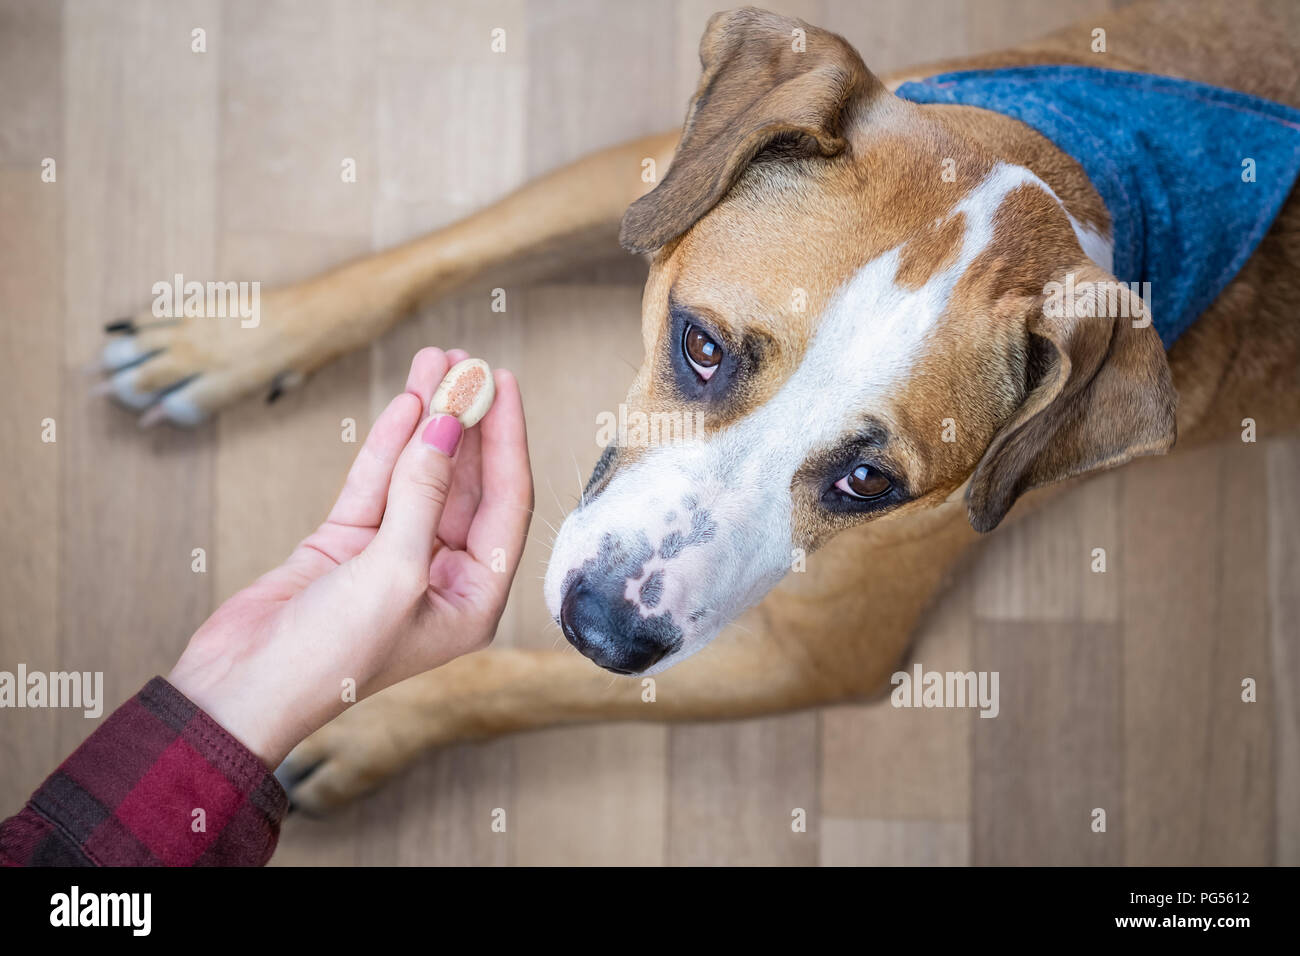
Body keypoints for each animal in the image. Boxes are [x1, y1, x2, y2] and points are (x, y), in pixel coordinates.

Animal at [96, 0, 1294, 816]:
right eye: (701, 345)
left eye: (871, 481)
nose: (610, 628)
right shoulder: (653, 176)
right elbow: (450, 247)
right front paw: (230, 339)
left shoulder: (810, 656)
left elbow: (517, 680)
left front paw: (366, 720)